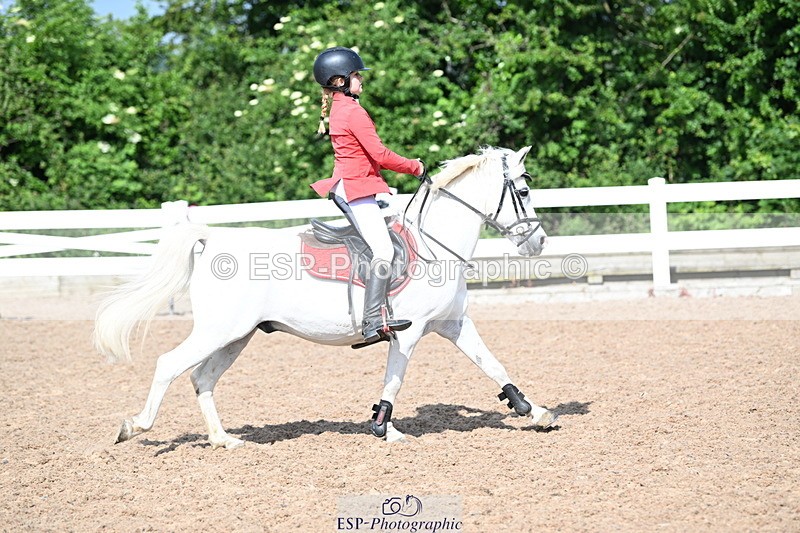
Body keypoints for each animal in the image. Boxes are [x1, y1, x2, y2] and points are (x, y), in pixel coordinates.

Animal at [94, 145, 558, 449]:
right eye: (523, 191)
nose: (538, 242)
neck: (433, 245)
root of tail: (213, 240)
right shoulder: (407, 334)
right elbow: (394, 380)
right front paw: (386, 429)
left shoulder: (454, 324)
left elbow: (493, 365)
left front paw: (534, 411)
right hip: (218, 330)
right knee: (169, 365)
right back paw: (134, 427)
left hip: (237, 336)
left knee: (201, 378)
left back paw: (224, 440)